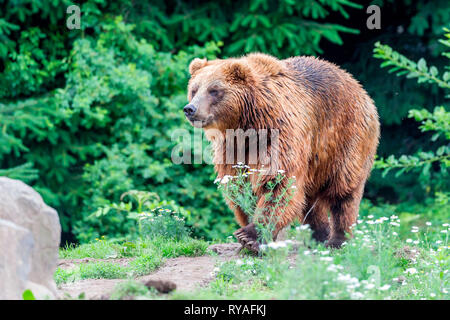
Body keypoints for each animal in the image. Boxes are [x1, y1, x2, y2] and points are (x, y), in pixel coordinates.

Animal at [184, 53, 380, 252]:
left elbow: (278, 183)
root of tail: (360, 89)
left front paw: (250, 236)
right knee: (309, 199)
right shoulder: (233, 148)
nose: (190, 109)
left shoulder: (279, 132)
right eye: (194, 89)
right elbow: (240, 186)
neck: (246, 124)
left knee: (343, 190)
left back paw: (337, 239)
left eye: (214, 90)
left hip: (345, 138)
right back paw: (317, 236)